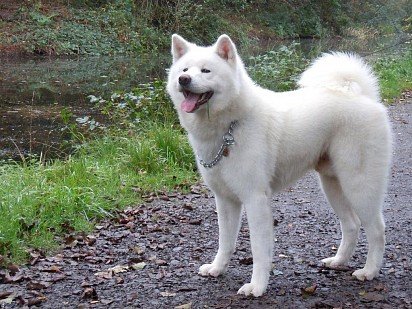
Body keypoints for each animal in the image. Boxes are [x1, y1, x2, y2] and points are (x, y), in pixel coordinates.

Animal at [167, 34, 392, 296]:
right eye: (184, 70)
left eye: (206, 71)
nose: (183, 79)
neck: (230, 126)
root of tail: (364, 97)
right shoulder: (225, 200)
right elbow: (226, 242)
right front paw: (217, 268)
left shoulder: (255, 199)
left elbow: (259, 249)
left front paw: (256, 286)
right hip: (332, 185)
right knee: (352, 225)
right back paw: (338, 261)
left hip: (359, 186)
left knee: (377, 230)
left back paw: (369, 271)